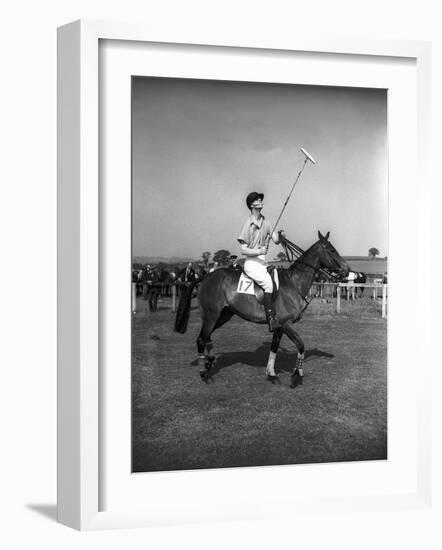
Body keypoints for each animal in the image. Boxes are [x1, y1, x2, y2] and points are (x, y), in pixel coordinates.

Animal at [174, 232, 350, 388]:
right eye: (332, 250)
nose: (347, 269)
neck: (293, 283)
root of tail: (205, 277)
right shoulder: (286, 323)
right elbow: (301, 345)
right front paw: (296, 376)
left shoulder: (279, 327)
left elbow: (274, 348)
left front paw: (272, 374)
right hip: (211, 316)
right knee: (201, 338)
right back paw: (203, 372)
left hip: (224, 315)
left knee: (207, 337)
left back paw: (209, 362)